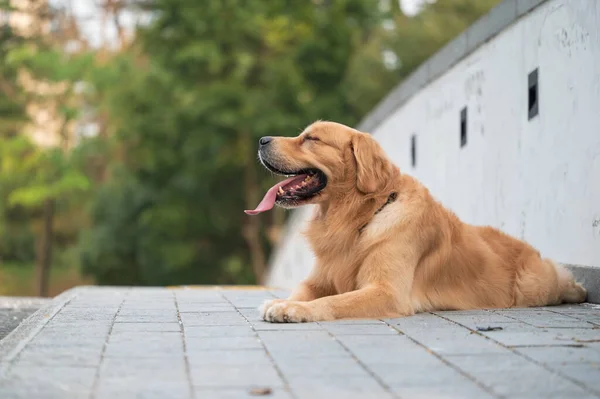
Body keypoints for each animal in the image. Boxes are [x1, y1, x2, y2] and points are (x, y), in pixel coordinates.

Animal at [244, 120, 584, 324]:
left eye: (311, 139)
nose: (261, 140)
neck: (360, 219)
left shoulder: (386, 291)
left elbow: (333, 301)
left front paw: (294, 309)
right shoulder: (318, 280)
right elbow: (304, 290)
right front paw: (281, 302)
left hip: (534, 284)